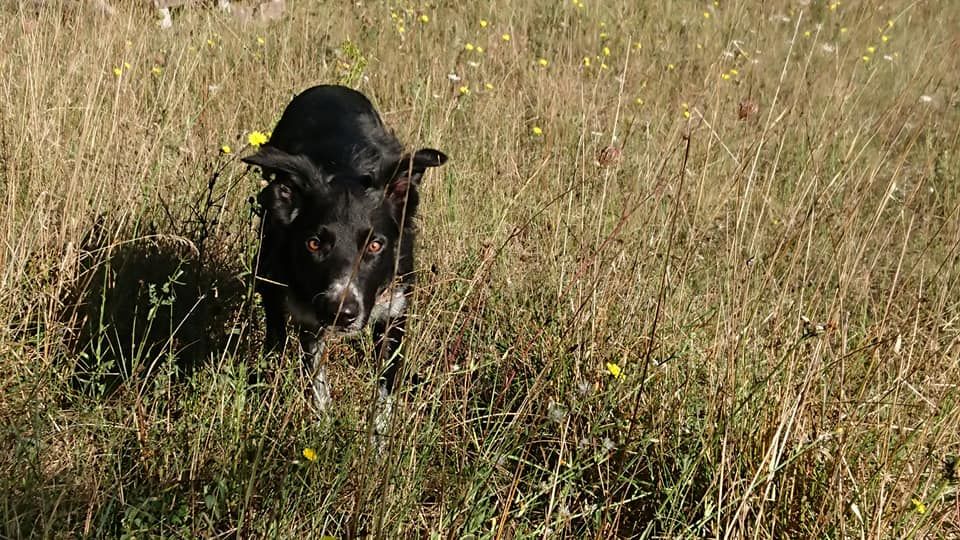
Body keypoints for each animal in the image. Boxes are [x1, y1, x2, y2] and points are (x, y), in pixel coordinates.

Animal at [242, 84, 448, 414]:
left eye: (375, 245)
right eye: (313, 243)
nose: (341, 313)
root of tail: (329, 87)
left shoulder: (395, 311)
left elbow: (384, 394)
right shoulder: (307, 315)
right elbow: (318, 385)